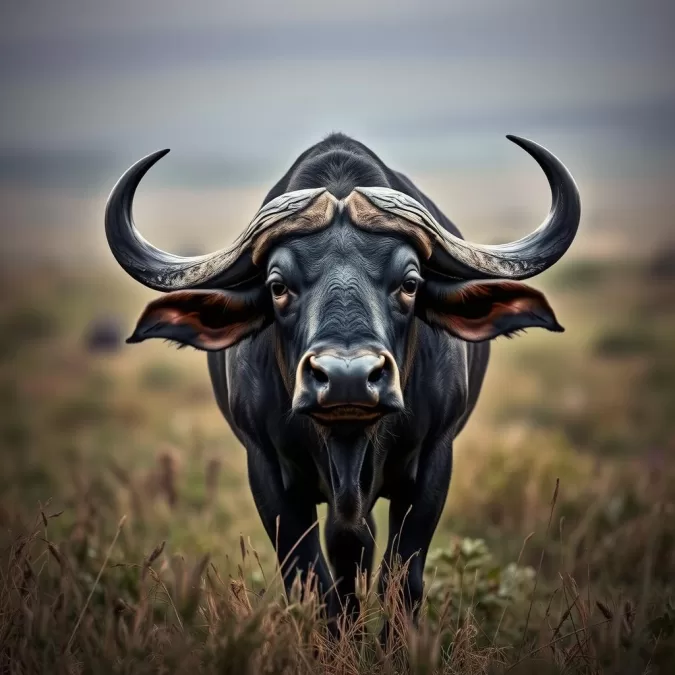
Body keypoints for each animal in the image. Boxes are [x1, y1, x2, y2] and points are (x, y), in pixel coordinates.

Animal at [105, 133, 580, 628]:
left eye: (410, 282)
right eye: (278, 285)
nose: (347, 378)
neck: (348, 446)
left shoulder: (435, 458)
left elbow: (400, 581)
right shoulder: (266, 469)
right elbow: (312, 581)